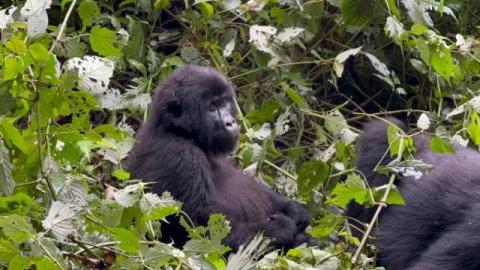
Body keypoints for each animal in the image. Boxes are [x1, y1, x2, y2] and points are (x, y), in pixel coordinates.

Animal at [127, 65, 316, 251]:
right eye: (212, 107)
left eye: (224, 102)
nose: (231, 122)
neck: (177, 131)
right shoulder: (180, 155)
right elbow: (202, 236)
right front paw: (278, 229)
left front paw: (293, 209)